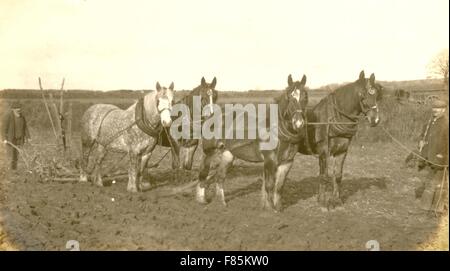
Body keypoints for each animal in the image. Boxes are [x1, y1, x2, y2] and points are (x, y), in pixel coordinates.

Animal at [195, 74, 308, 212]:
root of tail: (210, 116)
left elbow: (279, 187)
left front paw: (278, 209)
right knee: (203, 172)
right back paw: (201, 198)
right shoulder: (270, 160)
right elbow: (269, 185)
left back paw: (221, 203)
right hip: (209, 151)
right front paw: (269, 210)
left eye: (305, 96)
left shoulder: (287, 162)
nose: (299, 123)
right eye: (289, 97)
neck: (277, 130)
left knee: (220, 177)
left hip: (228, 153)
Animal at [298, 70, 382, 210]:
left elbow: (337, 176)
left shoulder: (342, 151)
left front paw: (336, 200)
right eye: (362, 95)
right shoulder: (323, 152)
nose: (375, 120)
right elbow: (324, 176)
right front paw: (322, 202)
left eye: (376, 94)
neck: (333, 119)